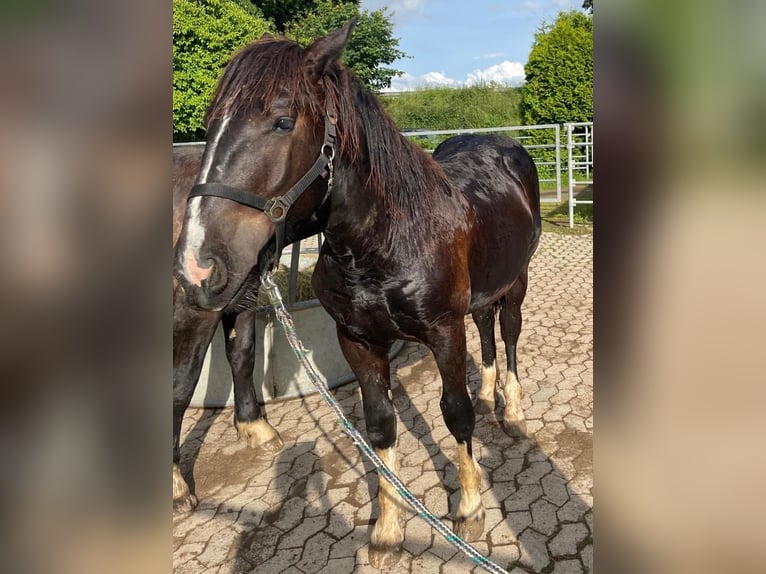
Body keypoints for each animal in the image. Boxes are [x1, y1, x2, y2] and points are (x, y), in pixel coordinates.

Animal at [174, 19, 544, 572]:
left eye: (282, 121)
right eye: (209, 124)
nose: (196, 265)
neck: (387, 242)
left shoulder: (443, 331)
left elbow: (455, 411)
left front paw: (470, 507)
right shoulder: (358, 340)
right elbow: (380, 426)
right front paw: (388, 531)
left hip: (516, 283)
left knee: (510, 333)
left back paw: (512, 410)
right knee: (486, 330)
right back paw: (490, 391)